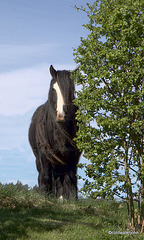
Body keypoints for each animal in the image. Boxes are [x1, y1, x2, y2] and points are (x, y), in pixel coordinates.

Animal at [28, 64, 81, 200]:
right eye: (53, 89)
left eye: (72, 89)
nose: (61, 115)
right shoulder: (44, 154)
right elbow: (46, 177)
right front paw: (44, 197)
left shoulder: (73, 156)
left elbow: (71, 180)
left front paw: (71, 200)